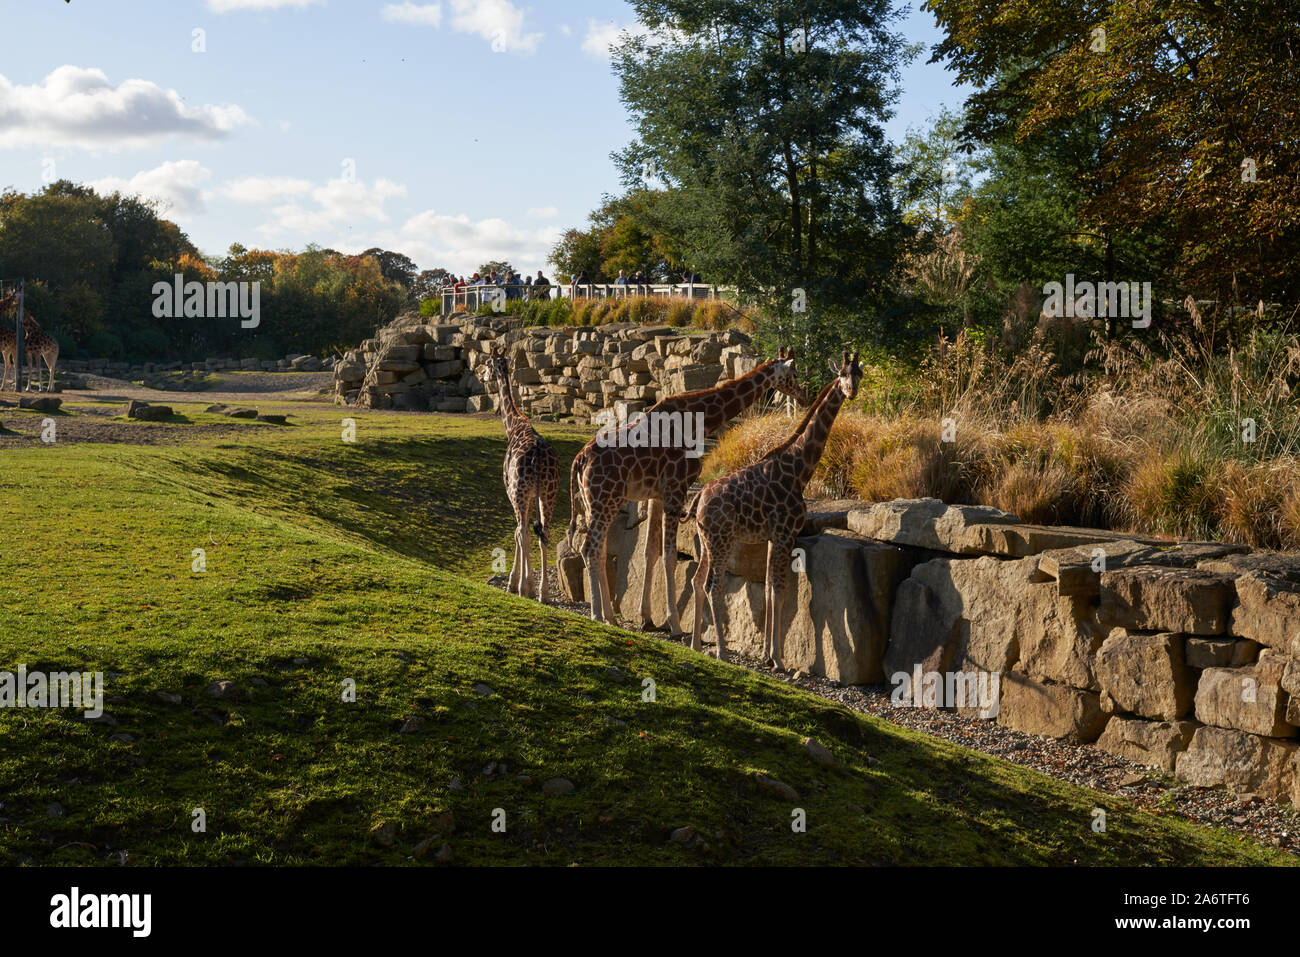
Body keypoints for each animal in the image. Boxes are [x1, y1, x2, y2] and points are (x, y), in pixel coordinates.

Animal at [480, 343, 556, 598]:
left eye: (487, 363)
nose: (482, 376)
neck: (513, 425)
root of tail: (538, 459)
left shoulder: (511, 490)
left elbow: (516, 532)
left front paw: (515, 583)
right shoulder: (533, 495)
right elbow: (528, 532)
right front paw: (526, 584)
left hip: (519, 491)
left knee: (523, 530)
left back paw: (526, 588)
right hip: (549, 493)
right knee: (544, 532)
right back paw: (544, 593)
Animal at [566, 351, 806, 634]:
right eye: (793, 373)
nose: (803, 396)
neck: (698, 421)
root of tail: (579, 460)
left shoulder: (656, 495)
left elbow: (650, 552)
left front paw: (647, 618)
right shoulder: (675, 488)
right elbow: (669, 556)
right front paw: (675, 624)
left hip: (596, 502)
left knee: (599, 549)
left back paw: (610, 617)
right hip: (605, 499)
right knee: (589, 548)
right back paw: (596, 614)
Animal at [691, 348, 863, 670]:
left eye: (858, 374)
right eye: (842, 375)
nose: (851, 392)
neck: (798, 470)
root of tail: (698, 501)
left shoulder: (773, 537)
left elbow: (770, 589)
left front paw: (765, 654)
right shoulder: (786, 534)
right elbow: (782, 591)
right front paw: (778, 659)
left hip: (707, 541)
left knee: (697, 580)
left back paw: (695, 644)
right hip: (722, 540)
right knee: (713, 586)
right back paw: (721, 652)